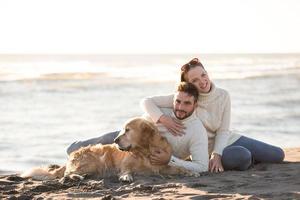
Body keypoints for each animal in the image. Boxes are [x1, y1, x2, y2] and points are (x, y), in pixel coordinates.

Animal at [21, 116, 190, 182]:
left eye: (127, 130)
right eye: (122, 129)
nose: (115, 140)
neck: (145, 151)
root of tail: (71, 156)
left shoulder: (160, 165)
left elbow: (175, 168)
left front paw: (188, 172)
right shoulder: (125, 163)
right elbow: (126, 169)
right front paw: (126, 176)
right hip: (92, 162)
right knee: (67, 174)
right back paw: (76, 177)